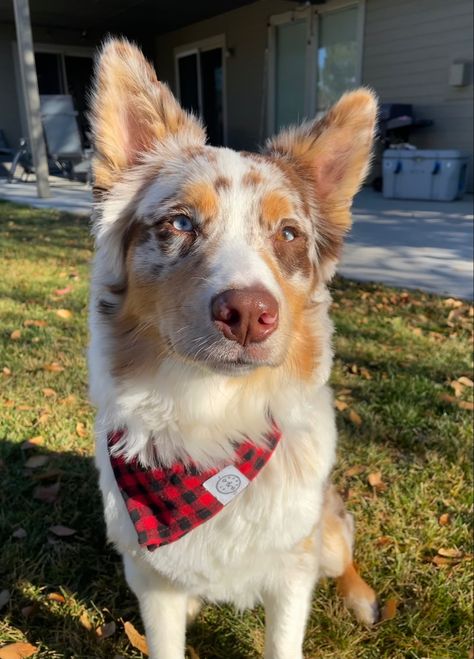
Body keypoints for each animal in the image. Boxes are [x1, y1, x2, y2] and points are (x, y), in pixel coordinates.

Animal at [88, 40, 378, 659]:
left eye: (289, 234)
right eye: (180, 223)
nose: (249, 315)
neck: (212, 417)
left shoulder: (293, 571)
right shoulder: (148, 576)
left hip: (326, 529)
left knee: (342, 553)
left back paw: (362, 597)